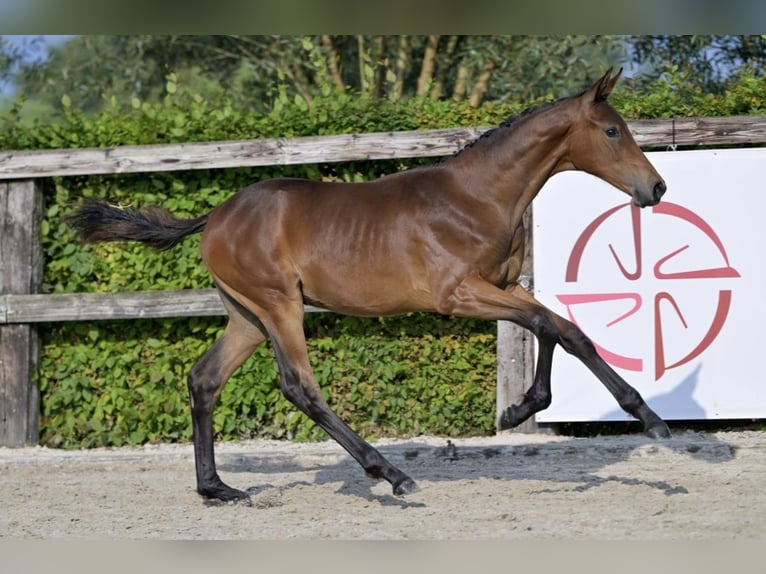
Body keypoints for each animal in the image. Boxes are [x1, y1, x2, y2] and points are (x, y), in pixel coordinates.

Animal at [70, 68, 672, 504]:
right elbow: (548, 325)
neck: (478, 196)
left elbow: (568, 332)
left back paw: (217, 488)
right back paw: (391, 474)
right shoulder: (458, 295)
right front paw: (525, 411)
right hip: (279, 305)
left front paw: (646, 419)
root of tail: (215, 216)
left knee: (204, 379)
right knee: (299, 387)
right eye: (613, 130)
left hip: (246, 315)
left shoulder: (506, 286)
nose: (657, 187)